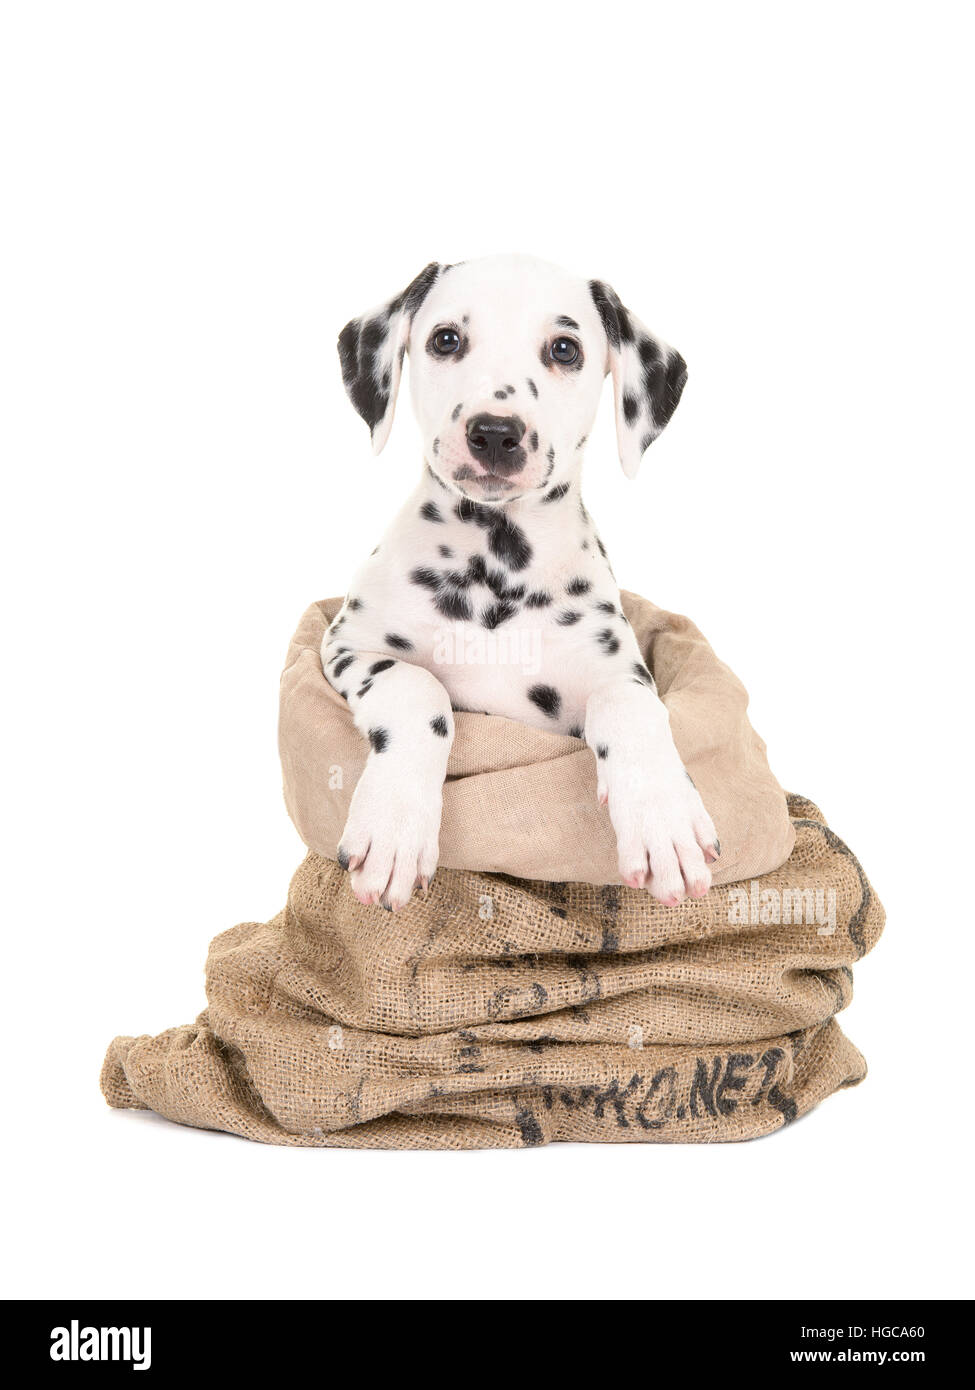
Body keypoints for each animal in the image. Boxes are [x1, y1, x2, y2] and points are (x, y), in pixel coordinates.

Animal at [325, 254, 717, 911]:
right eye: (446, 339)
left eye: (564, 348)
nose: (494, 432)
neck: (496, 568)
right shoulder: (347, 646)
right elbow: (416, 687)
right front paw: (394, 828)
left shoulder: (614, 668)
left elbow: (629, 704)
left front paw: (664, 816)